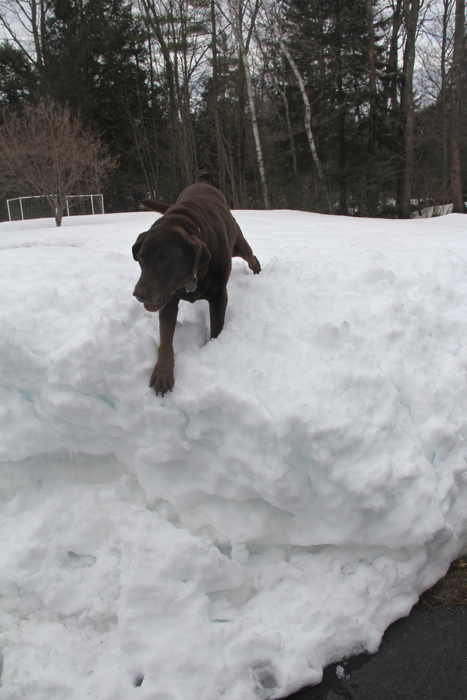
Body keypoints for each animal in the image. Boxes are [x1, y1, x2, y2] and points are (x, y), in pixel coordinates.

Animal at [133, 183, 262, 394]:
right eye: (141, 258)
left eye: (164, 260)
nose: (138, 294)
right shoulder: (168, 300)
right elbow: (165, 340)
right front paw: (163, 372)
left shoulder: (219, 295)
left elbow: (216, 329)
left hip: (237, 243)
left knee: (250, 255)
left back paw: (258, 271)